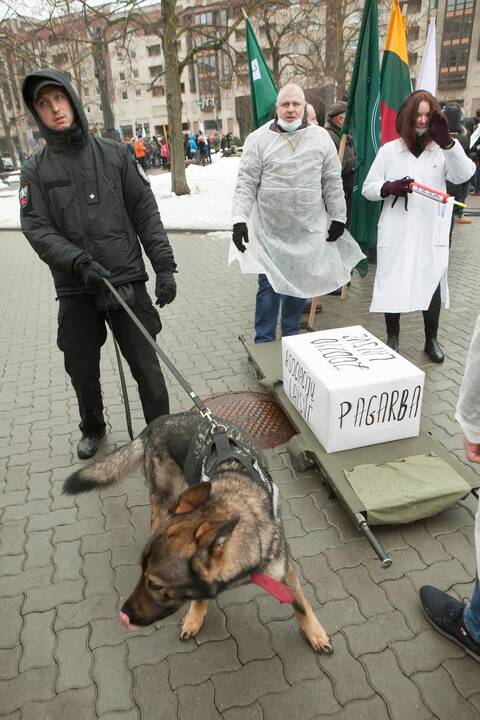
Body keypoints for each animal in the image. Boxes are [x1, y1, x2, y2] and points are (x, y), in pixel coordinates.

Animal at [62, 410, 334, 652]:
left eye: (155, 584)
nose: (124, 615)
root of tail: (157, 422)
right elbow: (201, 596)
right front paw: (195, 617)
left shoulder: (284, 570)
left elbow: (301, 604)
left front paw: (315, 633)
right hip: (165, 497)